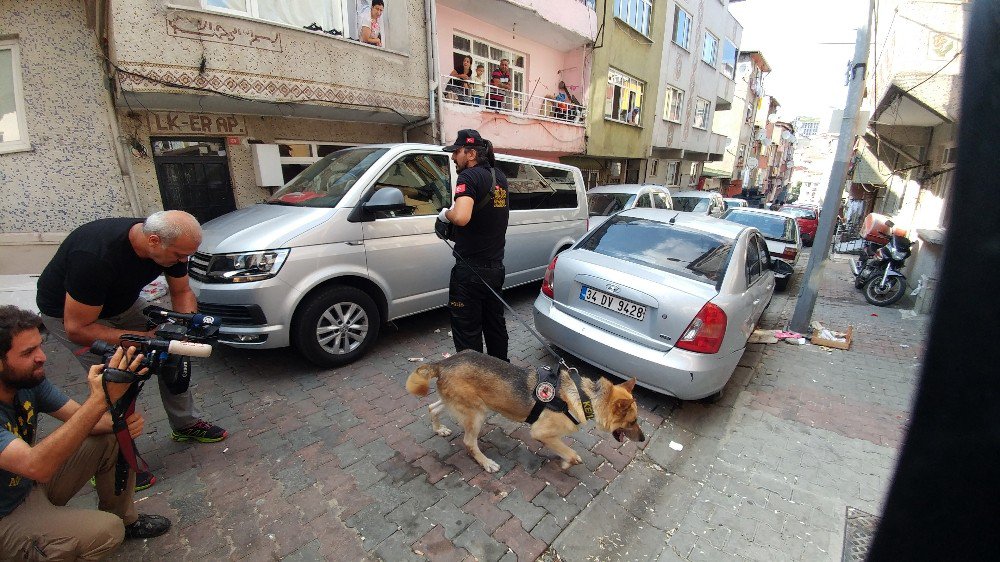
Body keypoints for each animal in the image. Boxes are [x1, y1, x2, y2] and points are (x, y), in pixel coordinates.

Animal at [406, 352, 648, 470]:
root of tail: (442, 364)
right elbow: (570, 452)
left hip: (460, 405)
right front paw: (567, 462)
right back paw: (486, 463)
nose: (644, 439)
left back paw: (439, 429)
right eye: (632, 421)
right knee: (469, 443)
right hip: (476, 414)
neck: (584, 396)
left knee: (432, 408)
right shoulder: (541, 433)